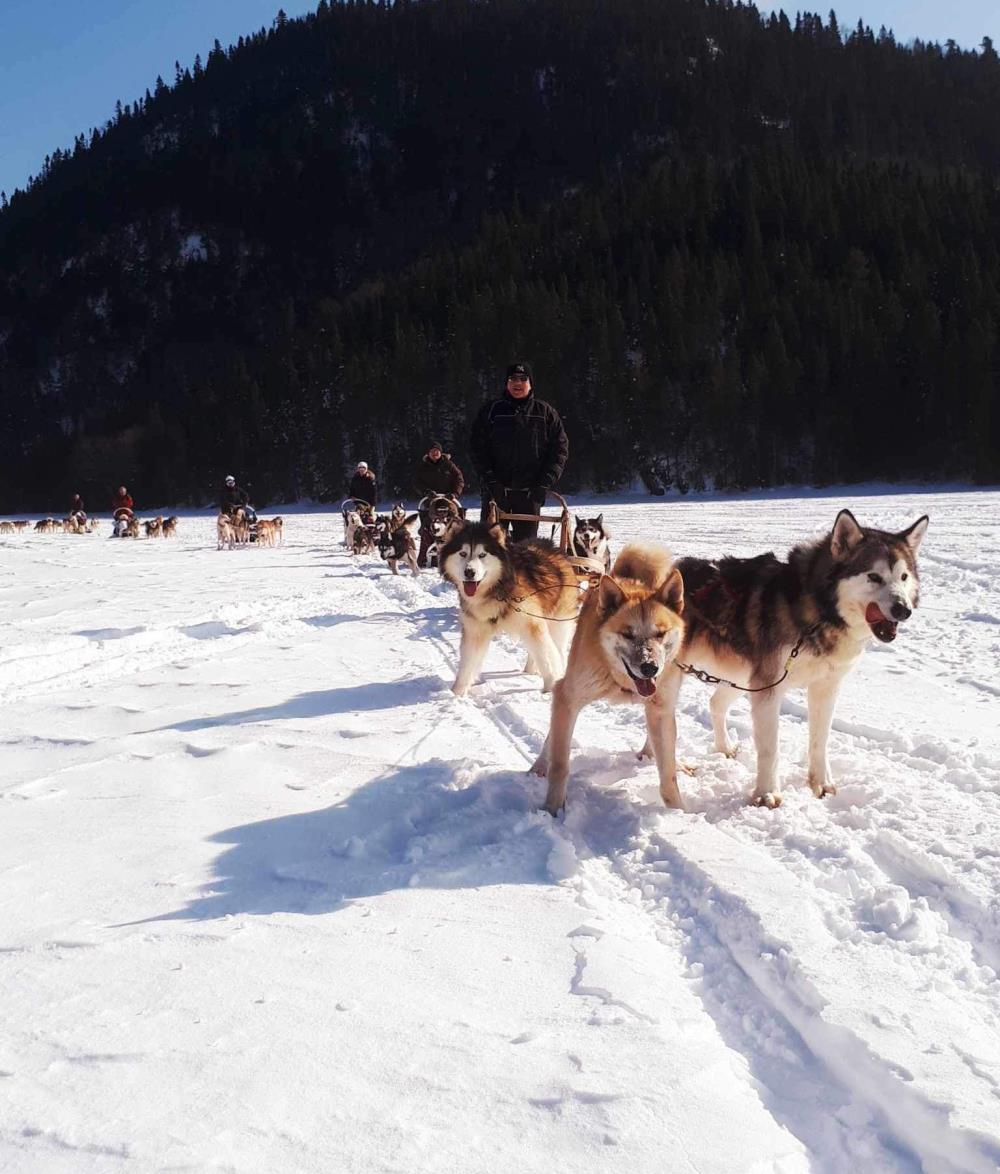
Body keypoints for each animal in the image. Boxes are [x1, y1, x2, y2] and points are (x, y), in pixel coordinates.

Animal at [441, 523, 582, 695]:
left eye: (482, 554)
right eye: (462, 553)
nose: (469, 572)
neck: (496, 590)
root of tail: (552, 546)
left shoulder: (531, 624)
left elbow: (546, 657)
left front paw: (551, 688)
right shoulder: (475, 630)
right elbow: (467, 664)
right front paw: (456, 693)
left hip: (558, 621)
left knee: (557, 649)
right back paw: (529, 669)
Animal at [530, 542, 685, 812]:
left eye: (661, 633)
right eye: (627, 634)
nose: (650, 668)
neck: (620, 680)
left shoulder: (661, 709)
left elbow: (668, 774)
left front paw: (679, 812)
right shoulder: (567, 698)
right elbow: (560, 764)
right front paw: (552, 809)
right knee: (552, 737)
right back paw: (540, 765)